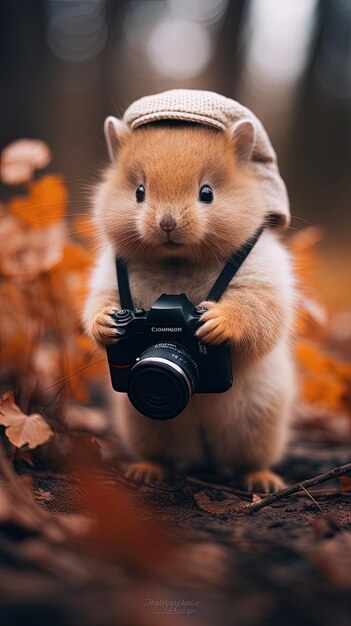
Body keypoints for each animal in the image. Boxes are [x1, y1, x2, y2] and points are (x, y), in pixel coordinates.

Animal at [83, 90, 296, 490]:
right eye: (138, 191)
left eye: (207, 193)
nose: (167, 223)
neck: (177, 261)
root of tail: (204, 453)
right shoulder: (106, 276)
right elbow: (96, 306)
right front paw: (107, 324)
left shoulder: (262, 274)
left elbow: (257, 308)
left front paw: (216, 323)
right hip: (147, 425)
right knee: (164, 455)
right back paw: (146, 470)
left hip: (256, 424)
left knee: (248, 459)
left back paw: (261, 480)